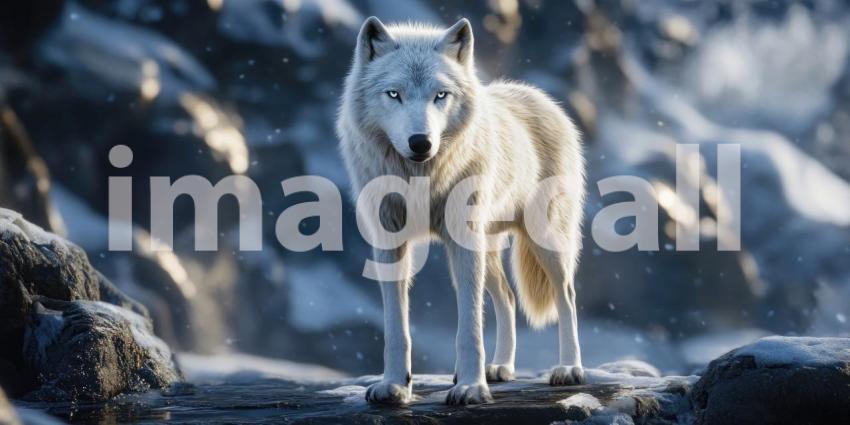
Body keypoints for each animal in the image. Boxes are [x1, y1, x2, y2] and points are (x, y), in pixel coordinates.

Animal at [336, 16, 586, 405]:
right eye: (394, 94)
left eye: (441, 95)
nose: (420, 143)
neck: (421, 179)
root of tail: (538, 96)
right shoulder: (389, 241)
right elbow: (396, 328)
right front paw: (394, 385)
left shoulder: (463, 241)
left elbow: (469, 326)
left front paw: (469, 387)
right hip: (490, 245)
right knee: (508, 297)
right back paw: (500, 368)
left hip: (545, 240)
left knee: (567, 297)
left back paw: (569, 369)